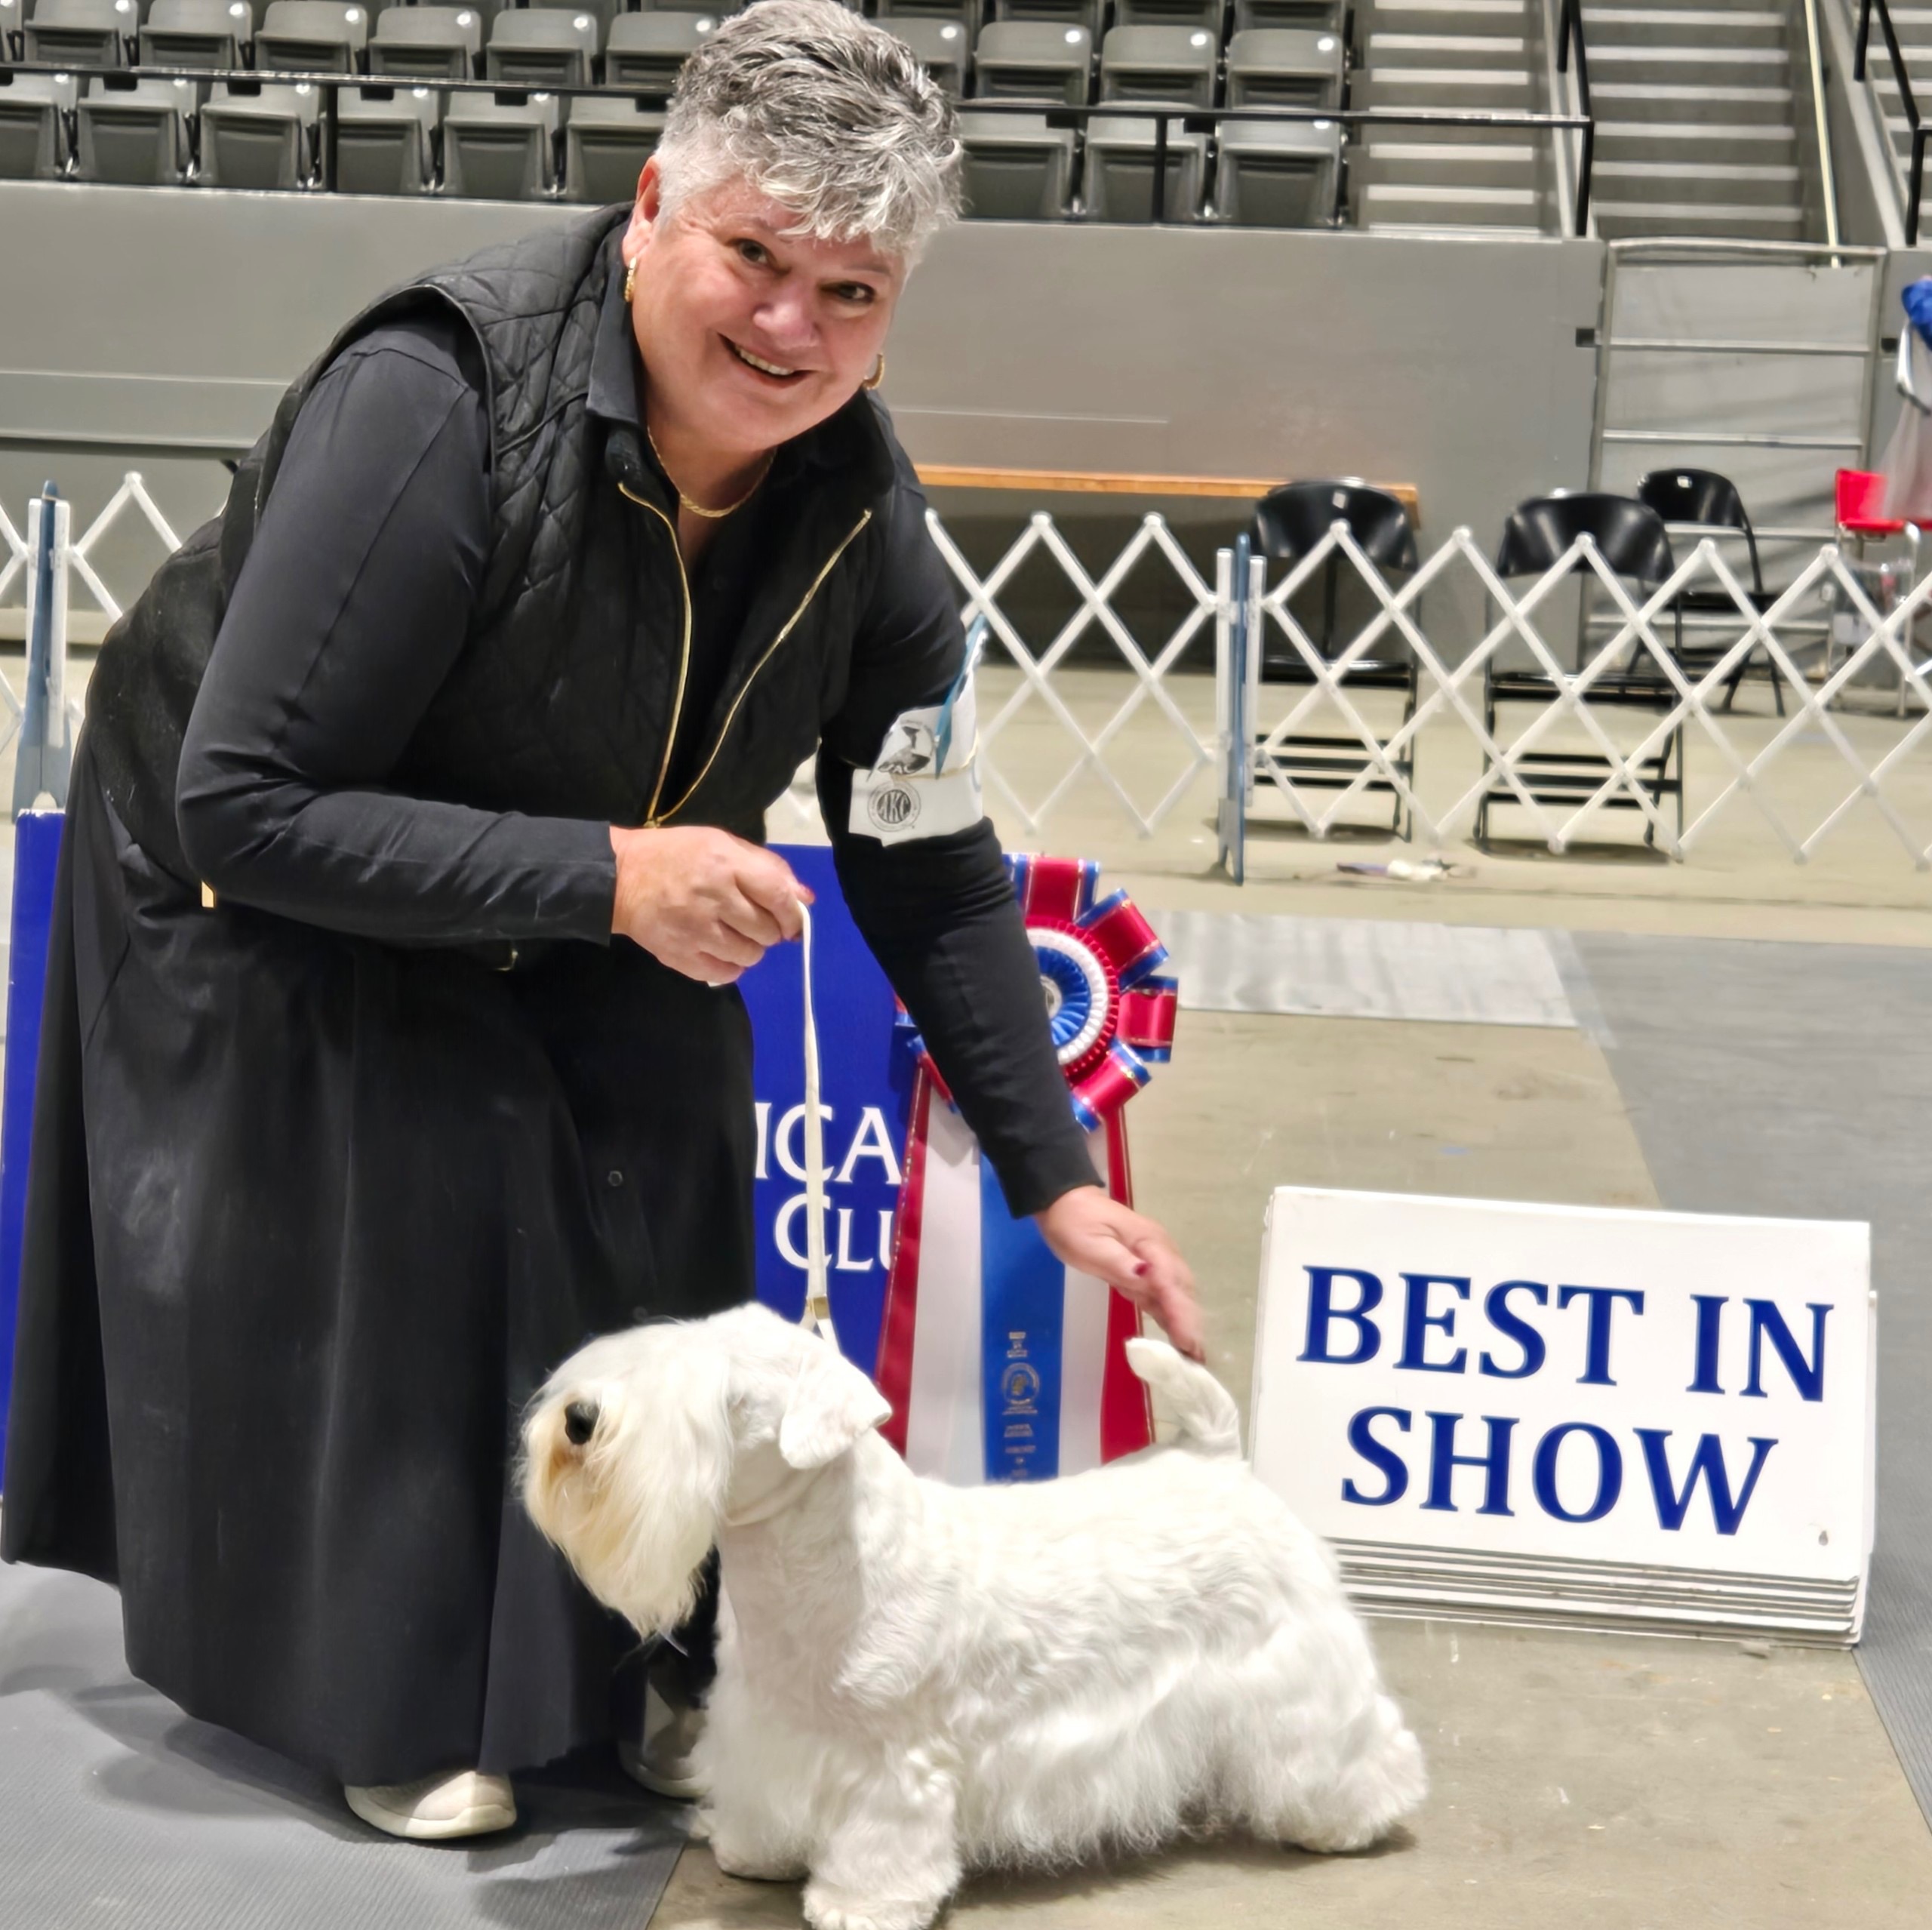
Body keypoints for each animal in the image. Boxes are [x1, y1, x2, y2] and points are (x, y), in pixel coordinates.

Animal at [523, 1304, 1425, 1930]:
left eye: (726, 1398)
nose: (579, 1419)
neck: (818, 1566)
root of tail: (1219, 1459)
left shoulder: (894, 1763)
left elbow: (883, 1838)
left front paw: (859, 1902)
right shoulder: (762, 1726)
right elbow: (760, 1794)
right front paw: (756, 1850)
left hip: (1297, 1670)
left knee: (1356, 1743)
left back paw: (1348, 1820)